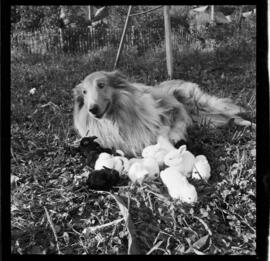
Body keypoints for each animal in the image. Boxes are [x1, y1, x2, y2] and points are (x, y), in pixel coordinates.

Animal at [73, 70, 254, 156]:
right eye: (84, 92)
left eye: (101, 85)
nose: (92, 109)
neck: (116, 119)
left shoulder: (174, 110)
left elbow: (168, 132)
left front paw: (174, 142)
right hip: (204, 119)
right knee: (228, 119)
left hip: (200, 105)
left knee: (234, 115)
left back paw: (251, 124)